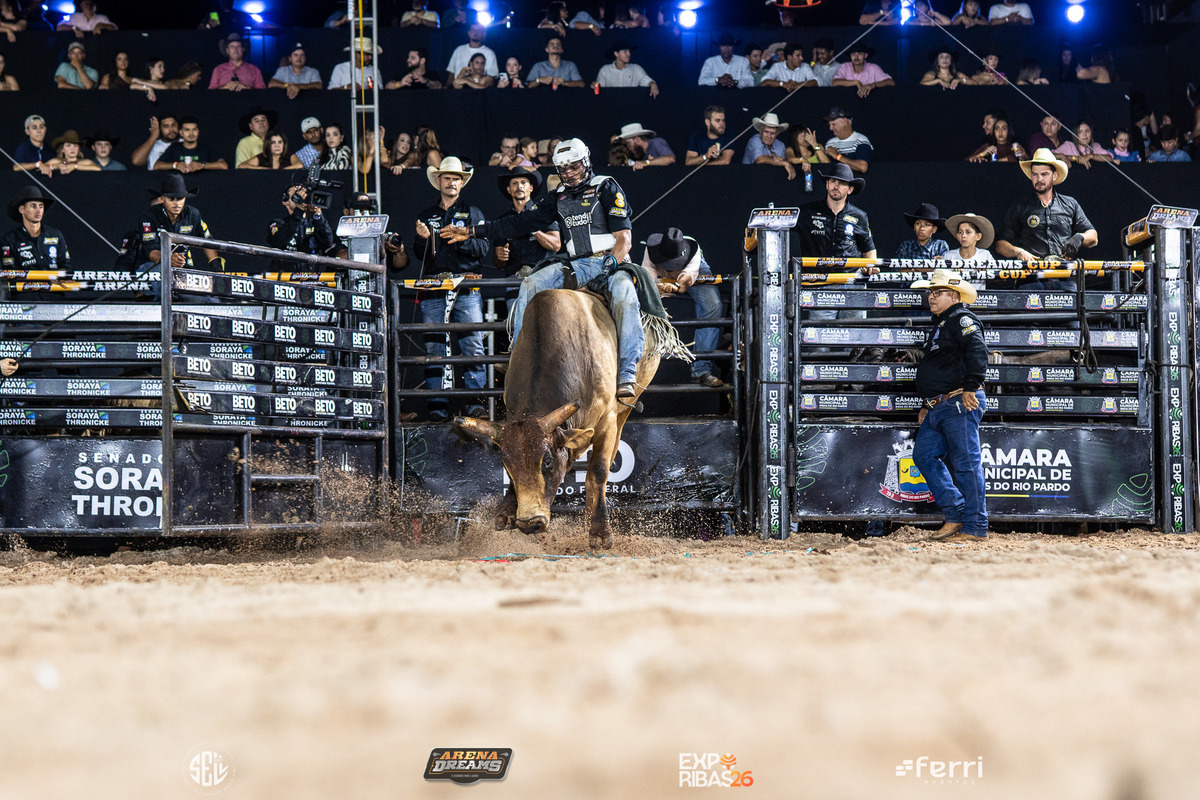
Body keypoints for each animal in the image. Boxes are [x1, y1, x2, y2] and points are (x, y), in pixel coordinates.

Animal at [453, 288, 661, 549]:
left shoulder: (607, 420)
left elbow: (599, 472)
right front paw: (507, 512)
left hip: (625, 409)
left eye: (547, 462)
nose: (530, 523)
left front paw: (600, 531)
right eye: (506, 465)